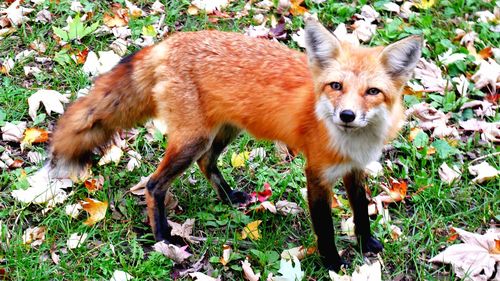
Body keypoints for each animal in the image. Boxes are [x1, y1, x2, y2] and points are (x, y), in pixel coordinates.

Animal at [48, 19, 422, 270]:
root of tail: (169, 43)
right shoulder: (316, 174)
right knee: (154, 185)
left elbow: (360, 210)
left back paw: (229, 197)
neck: (351, 142)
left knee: (207, 164)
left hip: (224, 133)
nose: (346, 115)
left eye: (372, 92)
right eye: (336, 86)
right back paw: (163, 238)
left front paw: (367, 243)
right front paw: (333, 263)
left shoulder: (354, 169)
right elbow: (326, 229)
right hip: (193, 141)